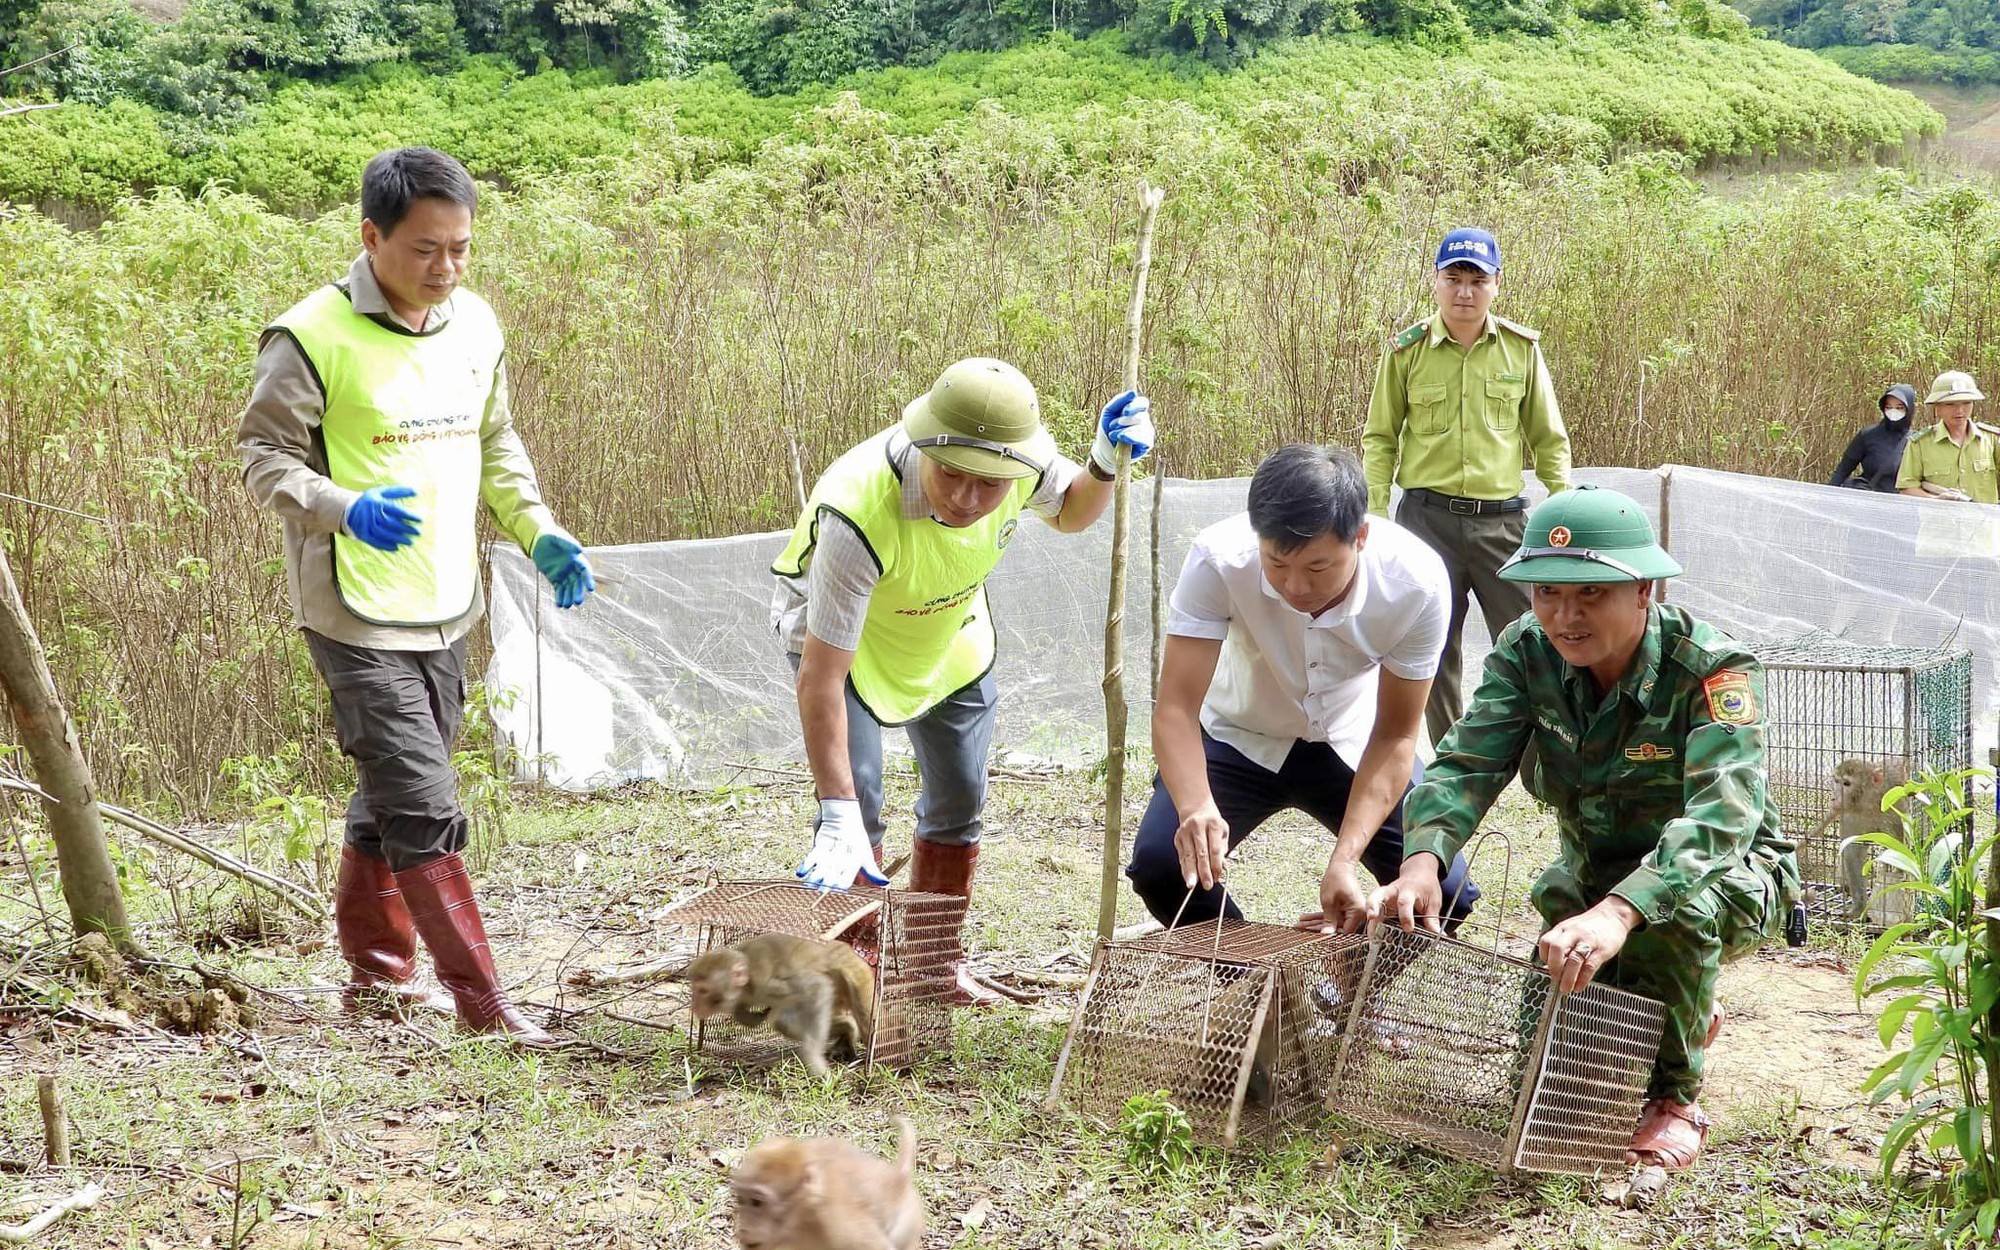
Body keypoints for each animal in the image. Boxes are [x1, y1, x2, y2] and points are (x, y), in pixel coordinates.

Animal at [688, 932, 876, 1080]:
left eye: (703, 990)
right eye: (695, 988)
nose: (695, 1005)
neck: (745, 985)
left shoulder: (766, 984)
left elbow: (817, 987)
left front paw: (813, 1059)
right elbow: (743, 1013)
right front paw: (755, 1017)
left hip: (854, 974)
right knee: (784, 1022)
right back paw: (847, 1029)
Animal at [732, 1112, 924, 1248]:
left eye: (756, 1202)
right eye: (741, 1200)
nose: (743, 1228)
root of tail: (898, 1177)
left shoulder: (838, 1223)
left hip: (909, 1220)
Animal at [1808, 756, 1912, 920]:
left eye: (1846, 783)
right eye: (1836, 781)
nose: (1833, 798)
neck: (1868, 802)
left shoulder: (1894, 810)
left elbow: (1898, 850)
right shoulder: (1850, 816)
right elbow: (1853, 852)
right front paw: (1858, 909)